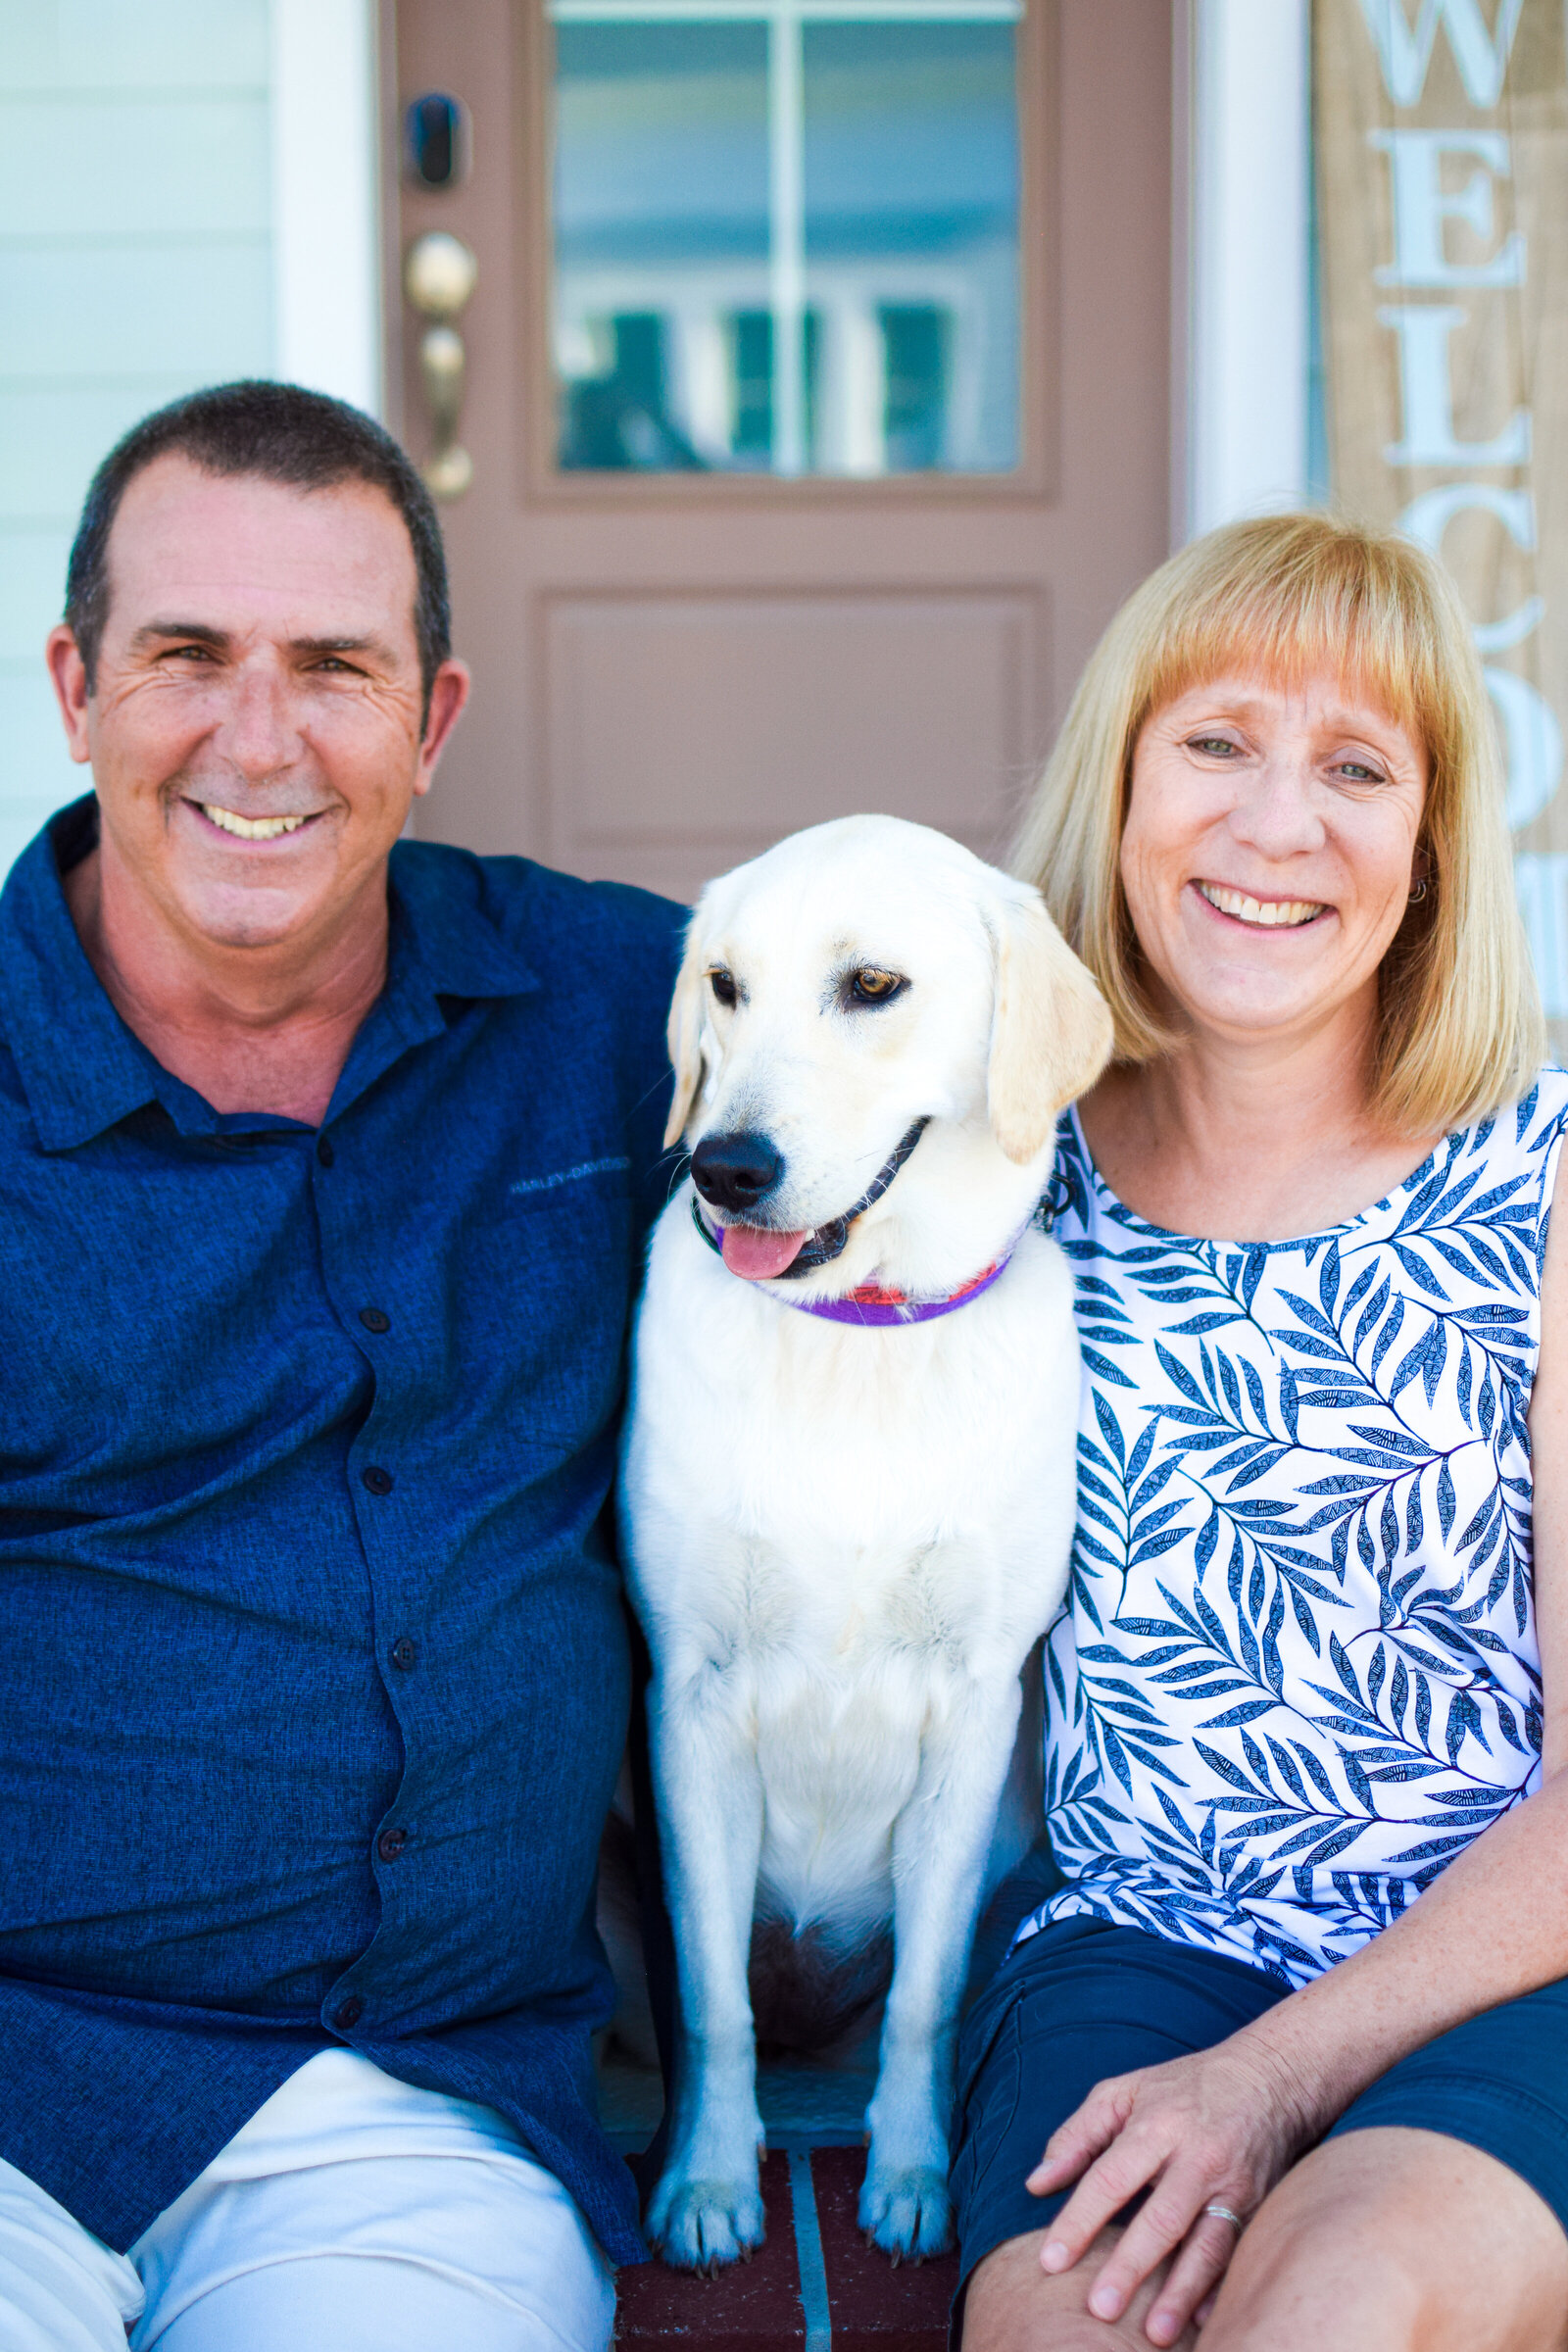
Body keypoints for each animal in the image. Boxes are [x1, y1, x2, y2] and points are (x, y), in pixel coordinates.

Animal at [620, 818, 1109, 2267]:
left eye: (873, 987)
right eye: (724, 986)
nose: (725, 1168)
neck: (858, 1334)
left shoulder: (973, 1708)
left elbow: (923, 2003)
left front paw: (911, 2174)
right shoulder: (694, 1700)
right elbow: (713, 2003)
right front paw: (709, 2178)